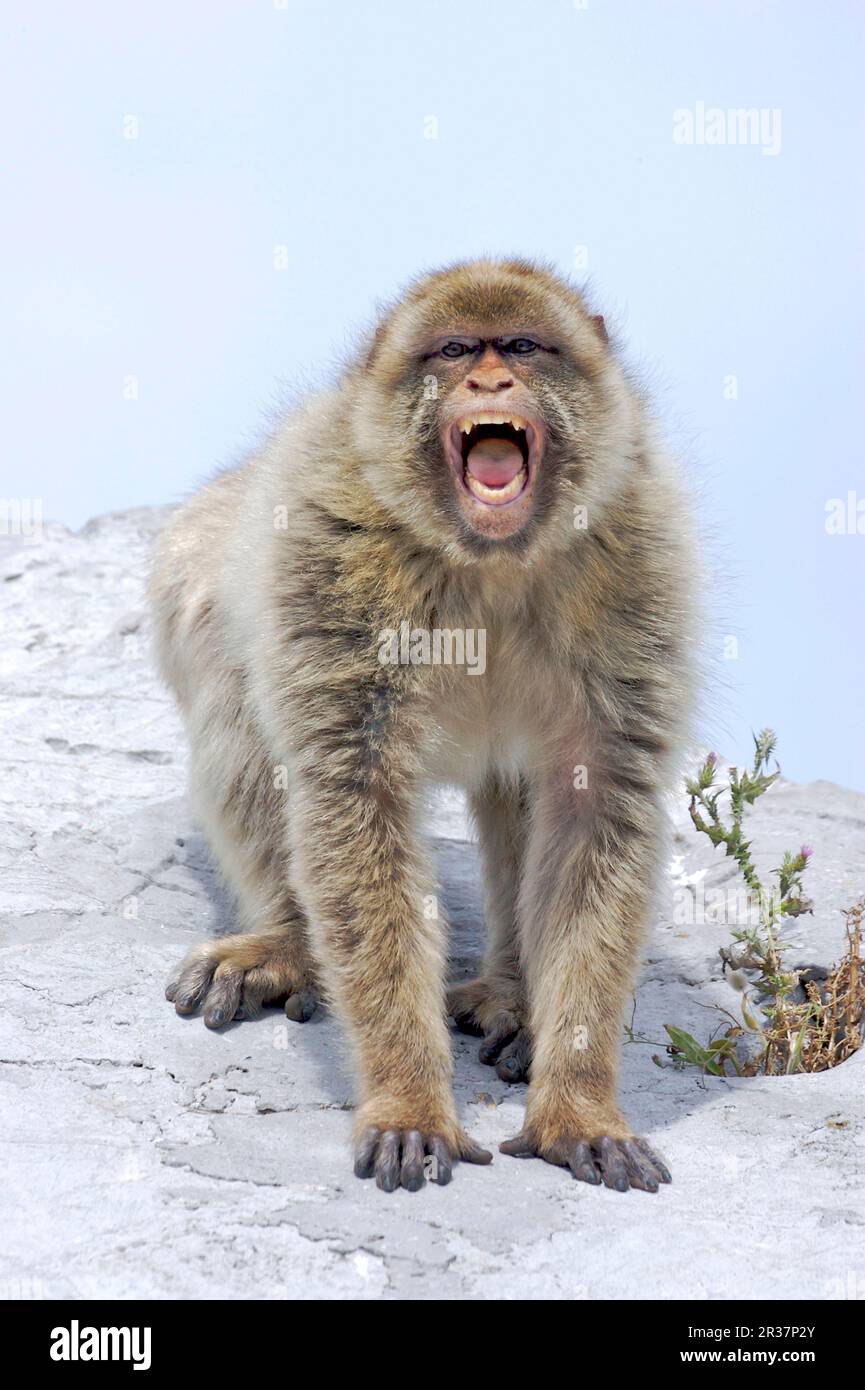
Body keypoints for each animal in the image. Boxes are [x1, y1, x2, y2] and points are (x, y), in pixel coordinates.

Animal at [154, 258, 698, 1195]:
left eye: (522, 345)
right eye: (452, 352)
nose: (489, 382)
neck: (490, 563)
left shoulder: (639, 558)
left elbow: (595, 806)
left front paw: (577, 1106)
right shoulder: (328, 549)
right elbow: (352, 797)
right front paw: (409, 1099)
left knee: (519, 790)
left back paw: (513, 993)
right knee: (234, 685)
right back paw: (287, 943)